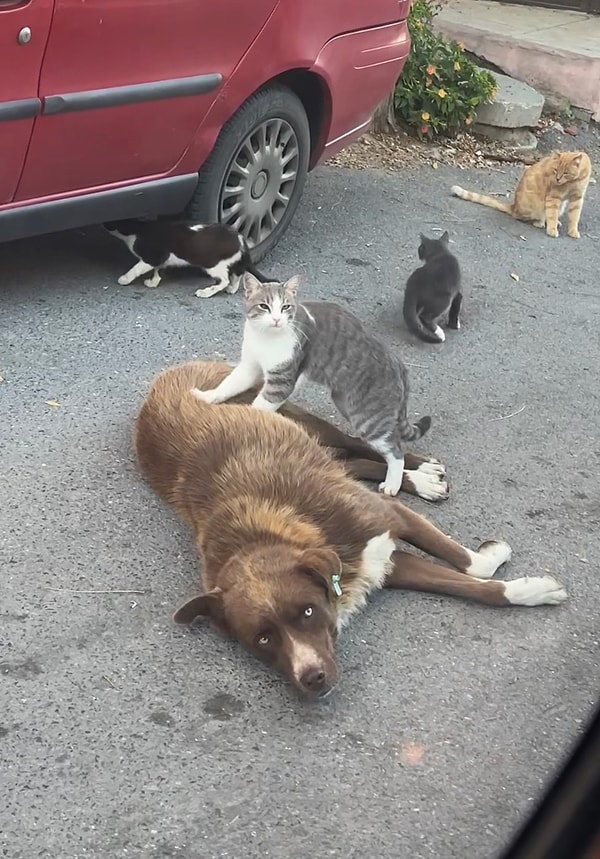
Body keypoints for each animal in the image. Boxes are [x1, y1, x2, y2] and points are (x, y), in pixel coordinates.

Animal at [135, 362, 568, 700]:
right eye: (262, 638)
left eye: (307, 611)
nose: (311, 678)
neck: (272, 535)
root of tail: (166, 376)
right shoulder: (387, 563)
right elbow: (475, 585)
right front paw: (527, 590)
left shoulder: (390, 520)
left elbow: (473, 567)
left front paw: (509, 569)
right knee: (350, 462)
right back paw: (416, 479)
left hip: (292, 411)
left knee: (362, 444)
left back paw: (419, 469)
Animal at [450, 151, 592, 239]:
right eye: (555, 170)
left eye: (565, 173)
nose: (557, 179)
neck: (573, 181)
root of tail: (514, 206)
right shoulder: (553, 197)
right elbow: (551, 214)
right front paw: (552, 230)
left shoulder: (577, 198)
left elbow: (575, 216)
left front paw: (573, 231)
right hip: (535, 206)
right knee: (527, 217)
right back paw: (540, 222)